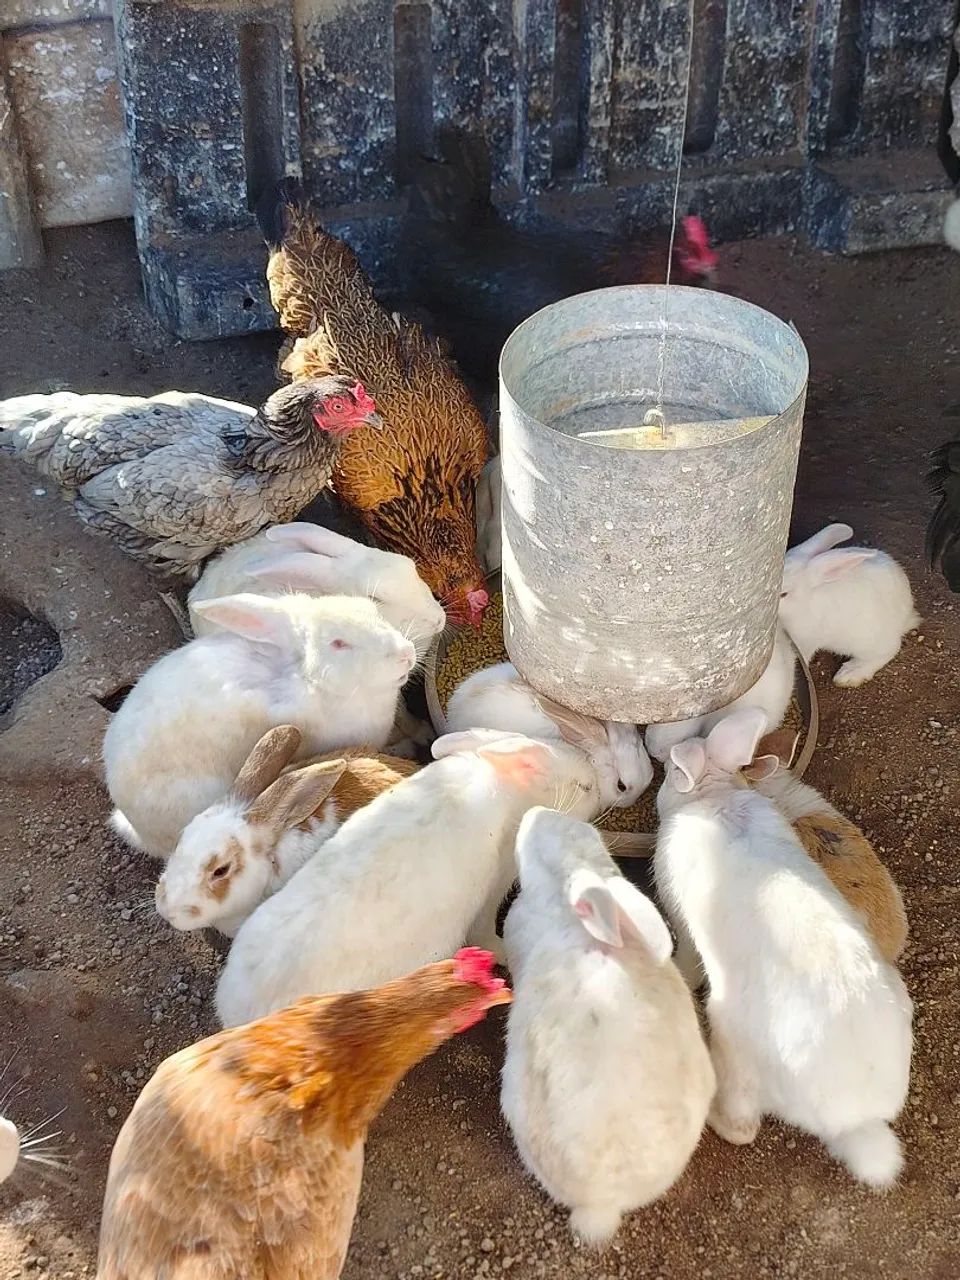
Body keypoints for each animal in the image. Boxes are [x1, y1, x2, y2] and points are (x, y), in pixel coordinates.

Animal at [215, 729, 605, 1027]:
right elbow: (485, 931)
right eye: (584, 788)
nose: (599, 786)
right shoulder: (491, 894)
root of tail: (237, 1010)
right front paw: (500, 952)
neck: (508, 791)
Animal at [778, 523, 919, 686]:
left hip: (868, 641)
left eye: (784, 594)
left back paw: (850, 673)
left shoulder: (804, 641)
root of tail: (907, 616)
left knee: (889, 650)